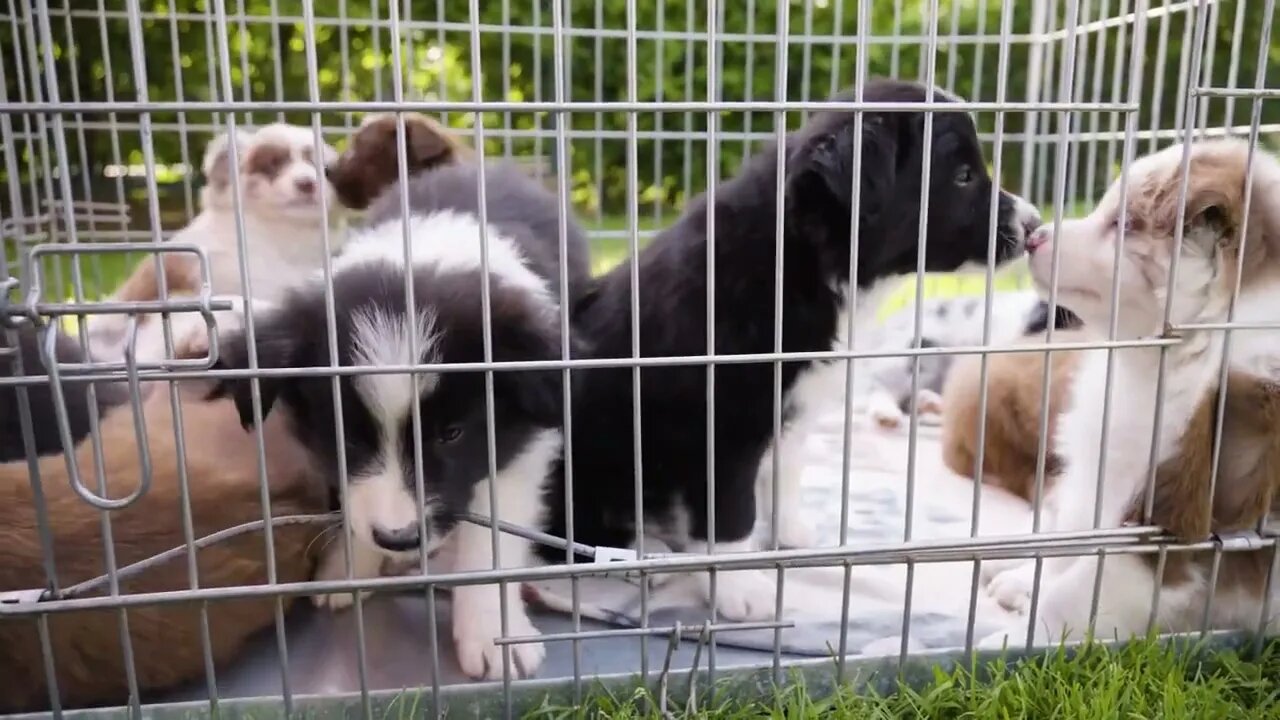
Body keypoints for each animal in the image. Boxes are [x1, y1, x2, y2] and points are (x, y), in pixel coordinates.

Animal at [208, 161, 588, 676]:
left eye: (452, 434)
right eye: (346, 438)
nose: (399, 538)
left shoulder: (523, 441)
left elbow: (491, 536)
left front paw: (493, 635)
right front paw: (351, 566)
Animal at [977, 139, 1280, 645]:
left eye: (1122, 224)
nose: (1035, 235)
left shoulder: (1167, 523)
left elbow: (1075, 592)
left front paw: (1013, 643)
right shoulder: (1113, 465)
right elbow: (1073, 540)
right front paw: (1024, 580)